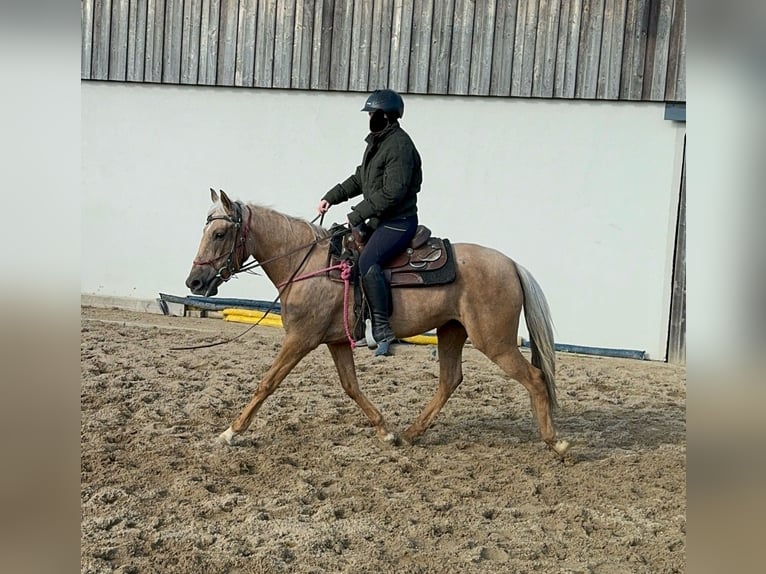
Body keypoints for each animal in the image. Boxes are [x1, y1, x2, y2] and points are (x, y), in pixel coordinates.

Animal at [184, 190, 568, 460]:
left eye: (219, 233)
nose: (194, 282)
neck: (308, 265)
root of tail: (512, 264)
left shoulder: (300, 339)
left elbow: (267, 383)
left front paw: (231, 432)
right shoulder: (337, 342)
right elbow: (351, 386)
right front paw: (386, 432)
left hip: (494, 341)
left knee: (535, 378)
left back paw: (556, 443)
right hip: (452, 331)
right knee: (450, 380)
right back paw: (411, 433)